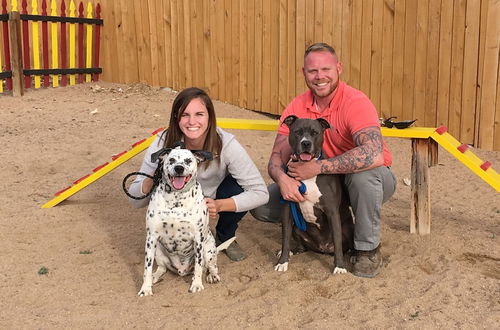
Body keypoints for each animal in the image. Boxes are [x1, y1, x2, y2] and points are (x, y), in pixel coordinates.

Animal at [139, 144, 234, 296]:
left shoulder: (198, 238)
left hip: (208, 249)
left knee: (211, 266)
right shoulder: (151, 237)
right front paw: (145, 288)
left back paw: (212, 275)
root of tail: (182, 269)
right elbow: (146, 268)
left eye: (188, 160)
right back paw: (155, 276)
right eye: (171, 160)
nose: (179, 168)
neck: (177, 199)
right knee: (162, 268)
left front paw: (197, 284)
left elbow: (198, 266)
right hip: (158, 250)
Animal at [276, 114, 354, 274]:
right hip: (297, 227)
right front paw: (283, 261)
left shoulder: (332, 212)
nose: (306, 143)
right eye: (298, 132)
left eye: (314, 133)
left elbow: (337, 241)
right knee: (301, 246)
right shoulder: (287, 211)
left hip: (349, 229)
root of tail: (322, 248)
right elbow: (285, 238)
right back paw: (292, 251)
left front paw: (339, 266)